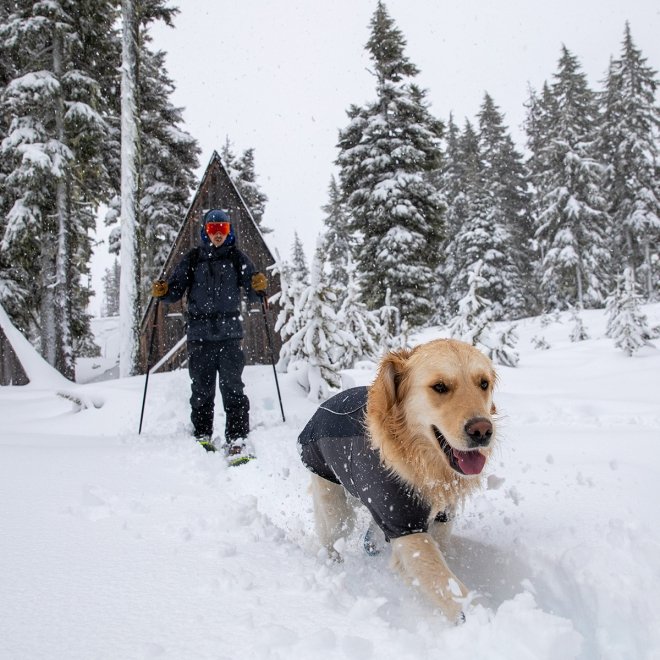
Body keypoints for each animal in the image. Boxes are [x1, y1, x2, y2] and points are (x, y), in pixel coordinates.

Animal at [296, 338, 498, 620]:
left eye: (483, 383)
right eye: (440, 386)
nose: (482, 430)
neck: (421, 463)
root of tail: (323, 405)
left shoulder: (442, 518)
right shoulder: (405, 526)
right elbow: (448, 586)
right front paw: (480, 620)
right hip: (335, 505)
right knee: (329, 536)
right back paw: (333, 564)